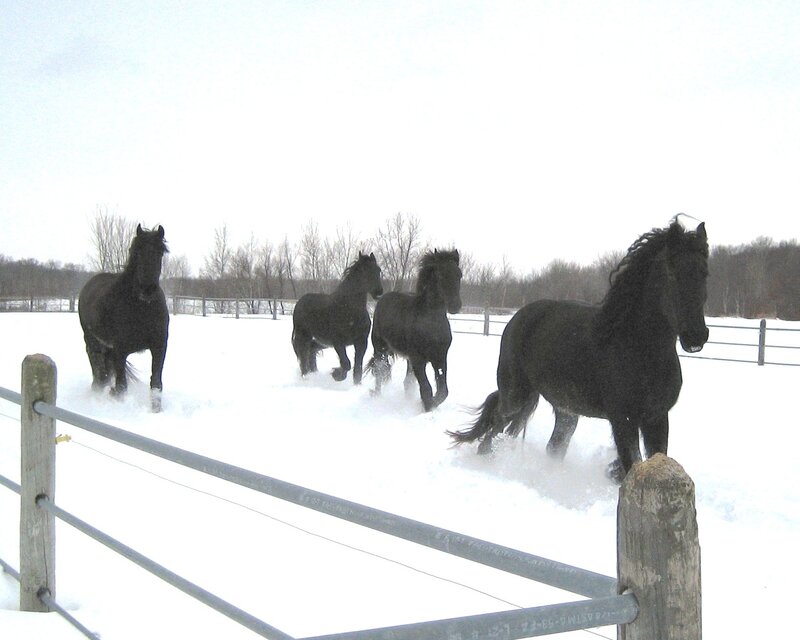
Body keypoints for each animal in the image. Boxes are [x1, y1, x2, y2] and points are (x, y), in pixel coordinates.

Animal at [78, 224, 170, 412]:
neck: (142, 308)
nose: (147, 290)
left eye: (160, 252)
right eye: (137, 252)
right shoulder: (120, 351)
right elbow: (121, 386)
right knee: (98, 374)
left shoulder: (159, 347)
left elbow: (156, 384)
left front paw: (156, 411)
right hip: (93, 343)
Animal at [292, 252, 383, 384]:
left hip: (322, 342)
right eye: (364, 270)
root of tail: (299, 302)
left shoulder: (361, 342)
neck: (349, 310)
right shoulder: (338, 342)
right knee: (304, 358)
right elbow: (346, 364)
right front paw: (336, 374)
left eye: (378, 270)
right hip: (303, 337)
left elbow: (357, 370)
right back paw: (307, 378)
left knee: (312, 351)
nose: (379, 293)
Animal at [369, 249, 463, 411]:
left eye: (459, 274)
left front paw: (430, 404)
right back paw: (377, 396)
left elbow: (442, 391)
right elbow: (426, 389)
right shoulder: (418, 359)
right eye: (440, 275)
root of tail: (383, 298)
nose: (455, 305)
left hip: (408, 359)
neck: (431, 324)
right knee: (380, 371)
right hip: (379, 347)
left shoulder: (440, 358)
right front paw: (427, 406)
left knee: (407, 382)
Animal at [449, 217, 709, 481]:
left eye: (704, 273)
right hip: (516, 396)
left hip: (566, 410)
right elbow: (631, 464)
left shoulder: (657, 417)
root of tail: (518, 318)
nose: (696, 336)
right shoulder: (623, 419)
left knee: (552, 446)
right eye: (671, 272)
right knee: (493, 429)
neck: (640, 349)